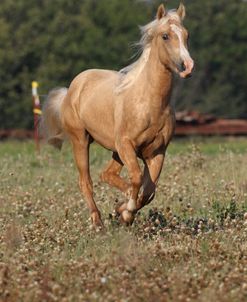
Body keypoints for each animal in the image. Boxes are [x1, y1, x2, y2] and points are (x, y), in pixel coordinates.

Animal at [42, 3, 193, 228]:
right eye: (165, 36)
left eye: (186, 35)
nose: (187, 66)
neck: (150, 103)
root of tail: (71, 89)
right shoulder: (126, 145)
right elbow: (137, 180)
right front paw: (127, 211)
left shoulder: (156, 152)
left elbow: (149, 191)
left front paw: (122, 212)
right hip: (81, 140)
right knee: (86, 181)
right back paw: (98, 223)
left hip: (115, 150)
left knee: (107, 174)